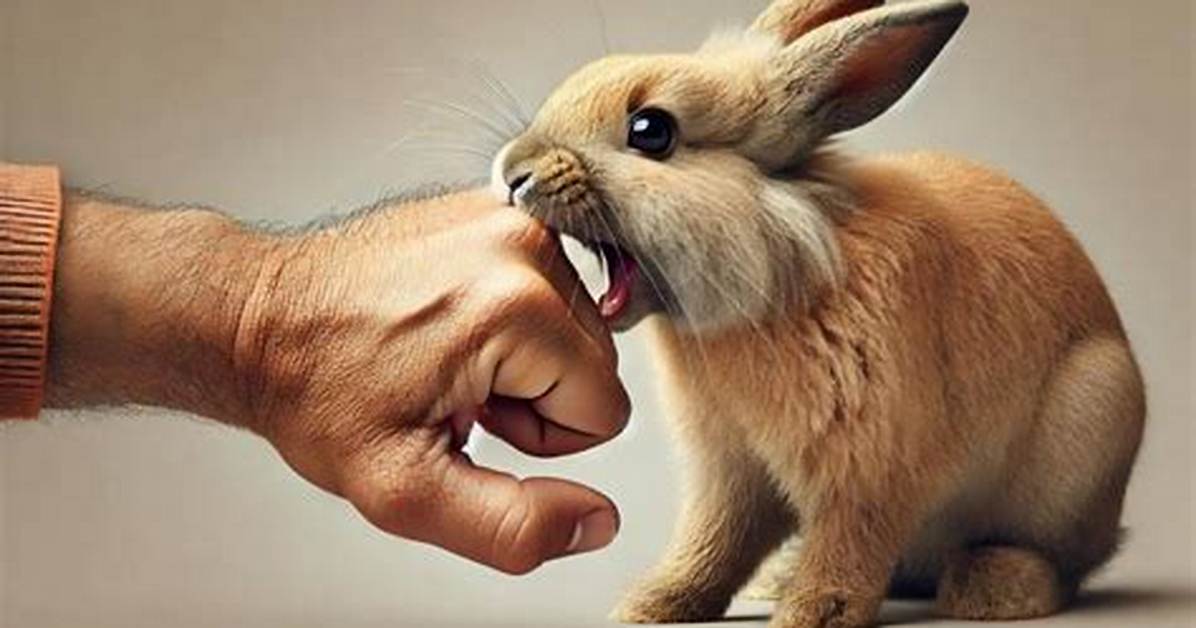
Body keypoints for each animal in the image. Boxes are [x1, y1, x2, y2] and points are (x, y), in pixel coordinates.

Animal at [488, 0, 1146, 626]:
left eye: (651, 131)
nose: (514, 173)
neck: (781, 269)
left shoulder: (871, 464)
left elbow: (848, 540)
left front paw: (817, 611)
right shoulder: (731, 470)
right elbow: (713, 541)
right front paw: (655, 603)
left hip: (1085, 430)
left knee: (1058, 564)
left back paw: (993, 589)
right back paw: (777, 579)